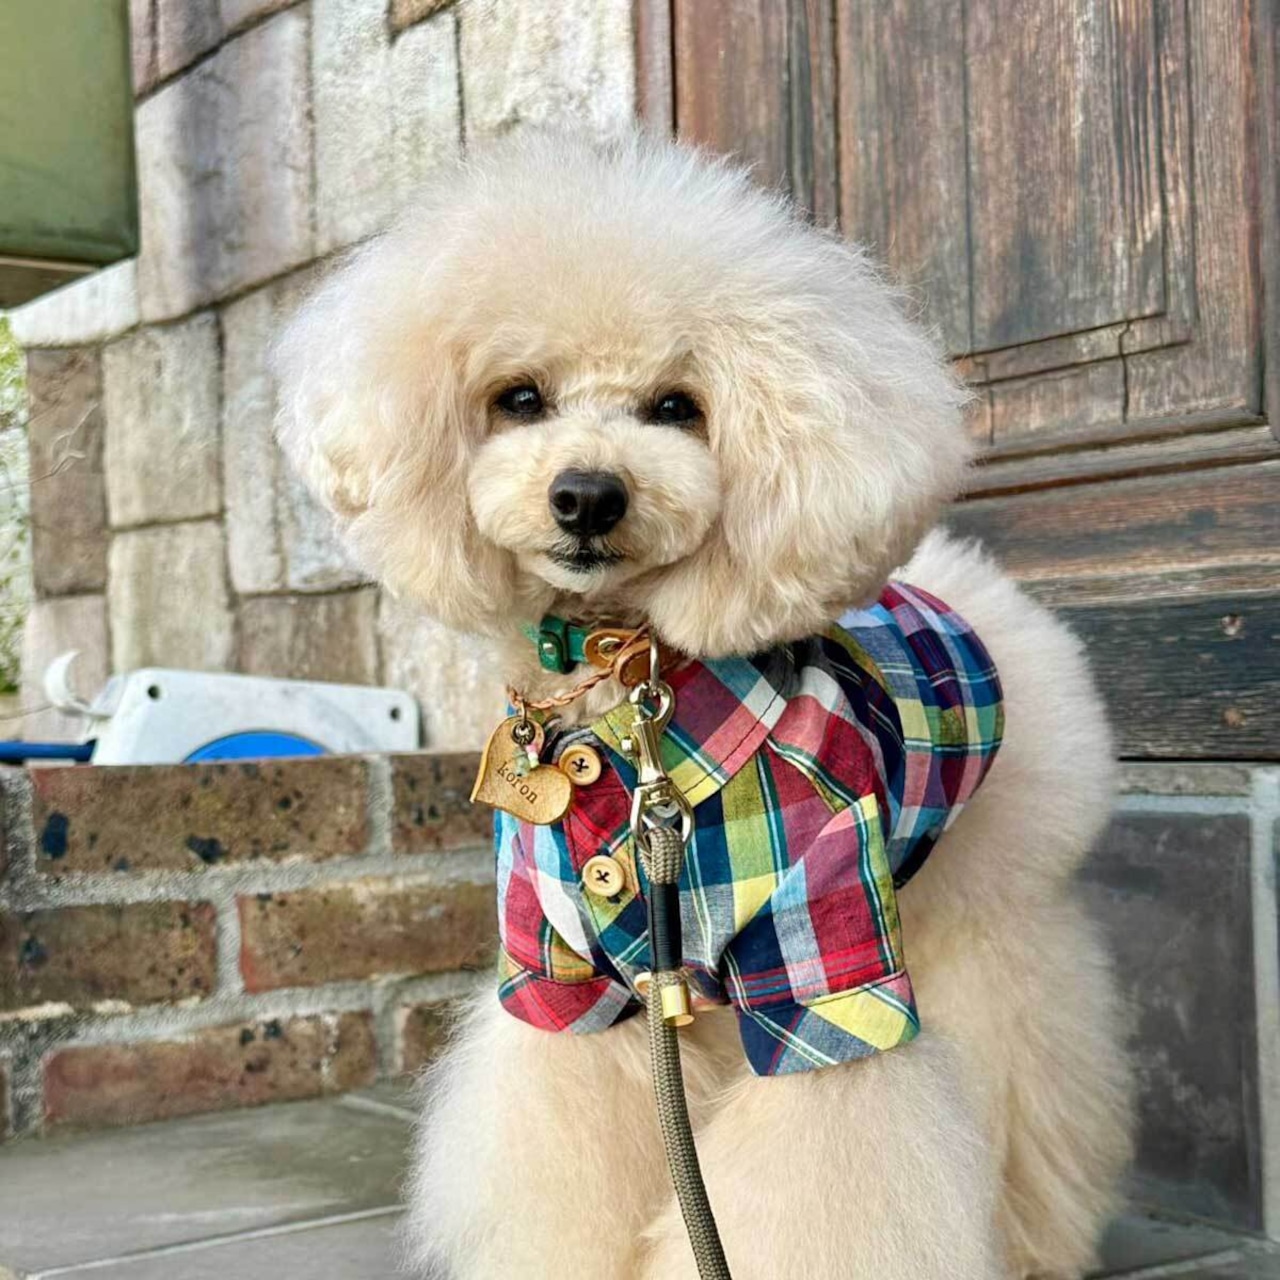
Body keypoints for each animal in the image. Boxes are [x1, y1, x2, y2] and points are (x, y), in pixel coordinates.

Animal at [274, 130, 1133, 1280]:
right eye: (519, 397)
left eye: (678, 406)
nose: (587, 495)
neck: (631, 718)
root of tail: (967, 578)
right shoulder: (566, 980)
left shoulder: (821, 969)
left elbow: (824, 1172)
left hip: (986, 905)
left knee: (1026, 1064)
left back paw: (1035, 1236)